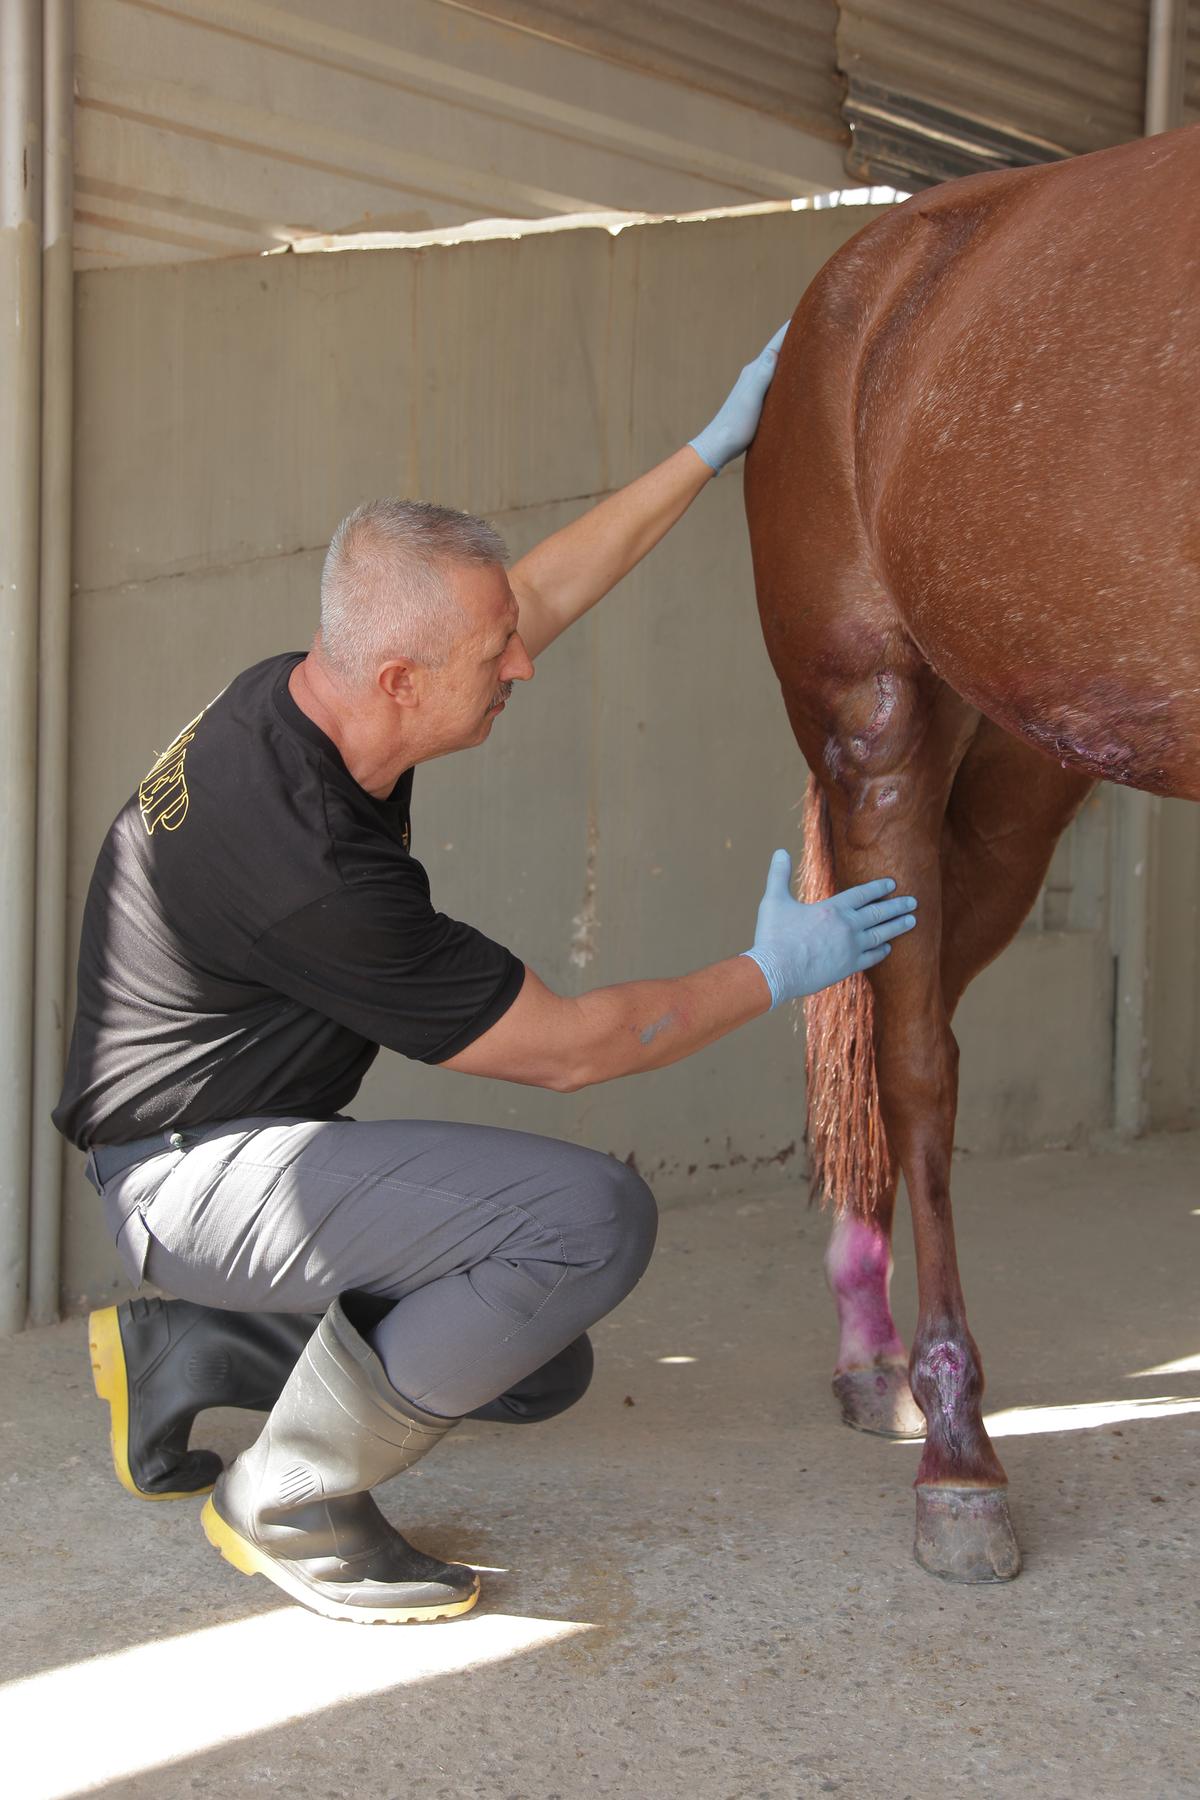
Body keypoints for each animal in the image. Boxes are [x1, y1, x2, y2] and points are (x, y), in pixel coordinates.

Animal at [744, 123, 1194, 1576]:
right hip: (878, 723)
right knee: (910, 1058)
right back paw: (952, 1448)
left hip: (1016, 781)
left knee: (912, 1006)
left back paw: (874, 1358)